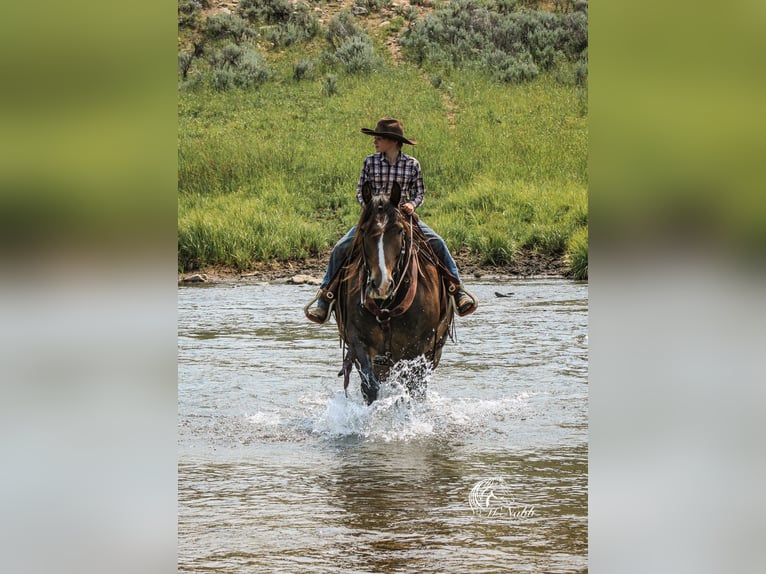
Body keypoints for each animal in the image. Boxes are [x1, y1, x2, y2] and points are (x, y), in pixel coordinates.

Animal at [332, 182, 456, 408]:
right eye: (364, 230)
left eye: (399, 230)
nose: (381, 285)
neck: (386, 307)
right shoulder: (357, 341)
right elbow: (370, 387)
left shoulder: (417, 348)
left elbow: (410, 389)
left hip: (434, 351)